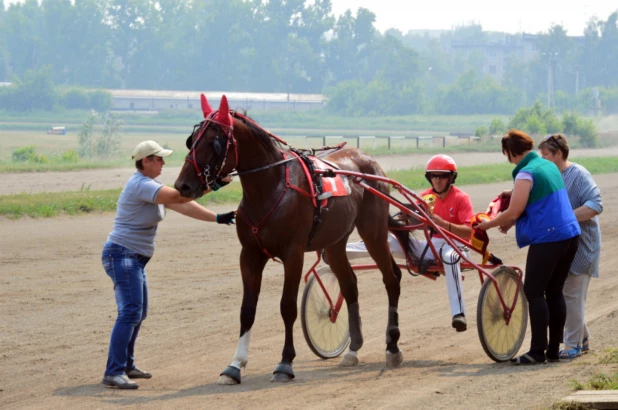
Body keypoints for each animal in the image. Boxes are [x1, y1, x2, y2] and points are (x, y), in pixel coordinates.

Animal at [173, 94, 404, 382]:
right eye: (192, 139)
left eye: (214, 142)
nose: (182, 185)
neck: (270, 188)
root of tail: (367, 160)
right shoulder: (249, 255)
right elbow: (247, 310)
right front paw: (235, 365)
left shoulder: (293, 254)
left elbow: (287, 307)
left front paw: (285, 363)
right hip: (335, 243)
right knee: (350, 285)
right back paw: (352, 350)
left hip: (373, 232)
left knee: (391, 278)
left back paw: (392, 347)